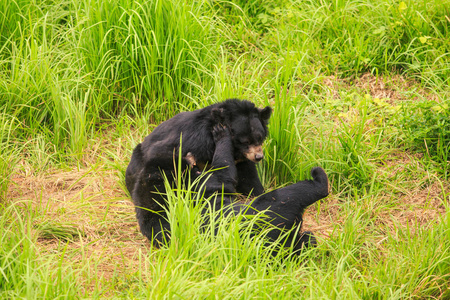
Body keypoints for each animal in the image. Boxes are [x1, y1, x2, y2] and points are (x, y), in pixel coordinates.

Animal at [125, 99, 328, 250]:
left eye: (260, 138)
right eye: (245, 141)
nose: (259, 157)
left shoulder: (243, 162)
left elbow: (249, 179)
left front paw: (256, 190)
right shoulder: (190, 144)